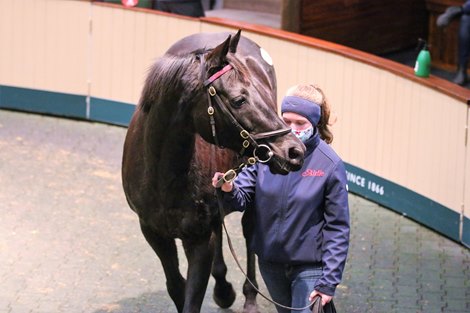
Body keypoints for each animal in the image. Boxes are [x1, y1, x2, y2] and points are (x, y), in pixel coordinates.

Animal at [121, 29, 304, 312]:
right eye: (239, 100)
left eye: (260, 94)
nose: (294, 151)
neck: (162, 175)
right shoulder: (154, 232)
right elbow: (176, 287)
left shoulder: (198, 239)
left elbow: (192, 297)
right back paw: (223, 289)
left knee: (250, 232)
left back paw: (248, 297)